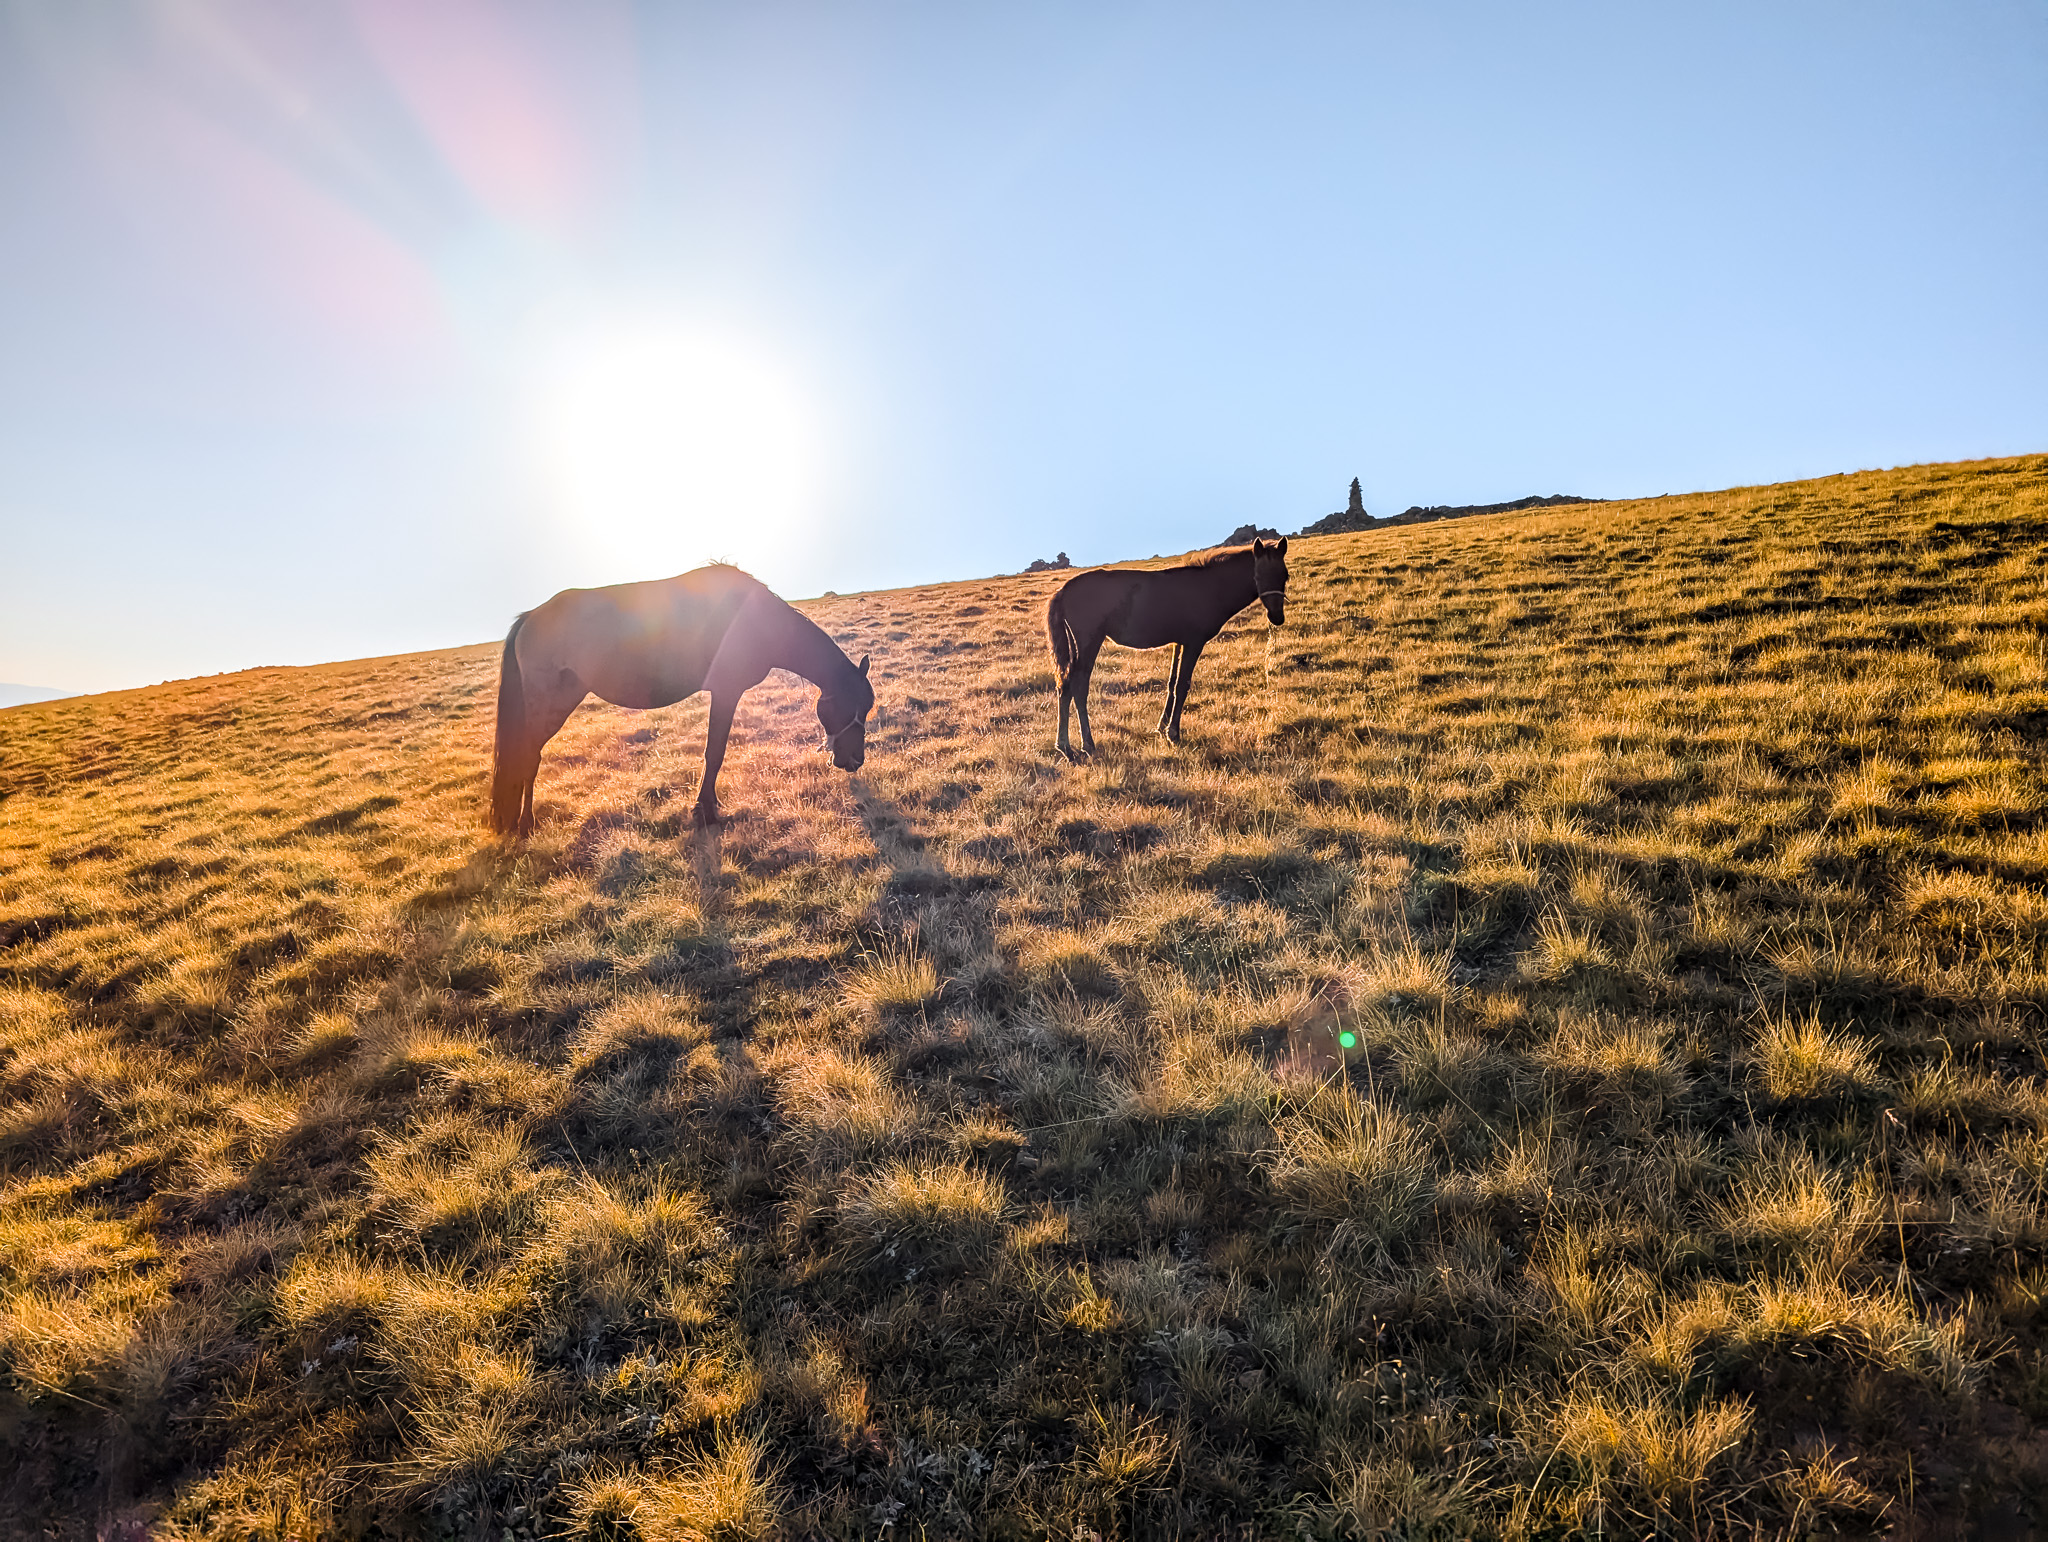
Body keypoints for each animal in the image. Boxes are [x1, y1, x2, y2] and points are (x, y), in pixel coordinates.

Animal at [490, 564, 873, 836]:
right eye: (852, 705)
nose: (855, 760)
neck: (755, 620)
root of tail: (530, 617)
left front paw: (708, 806)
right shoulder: (726, 691)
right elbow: (714, 752)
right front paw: (706, 812)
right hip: (549, 704)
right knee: (528, 756)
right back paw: (525, 825)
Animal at [1044, 537, 1290, 759]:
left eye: (1284, 576)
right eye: (1258, 576)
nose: (1277, 617)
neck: (1208, 587)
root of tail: (1063, 591)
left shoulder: (1178, 642)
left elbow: (1172, 683)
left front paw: (1162, 727)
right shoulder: (1193, 643)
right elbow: (1182, 685)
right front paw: (1173, 733)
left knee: (1065, 686)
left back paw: (1065, 747)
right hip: (1089, 642)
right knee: (1078, 686)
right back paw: (1086, 744)